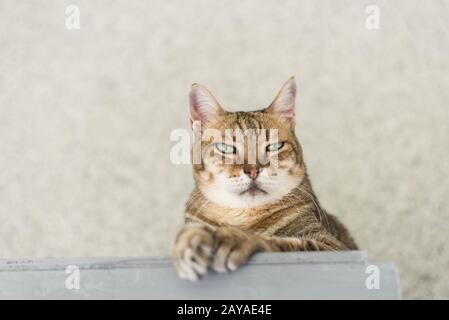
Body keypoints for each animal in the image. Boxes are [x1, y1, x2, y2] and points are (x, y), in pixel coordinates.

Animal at [172, 77, 356, 280]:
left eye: (274, 146)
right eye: (226, 148)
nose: (253, 170)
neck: (244, 217)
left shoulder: (333, 247)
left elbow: (278, 242)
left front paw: (234, 237)